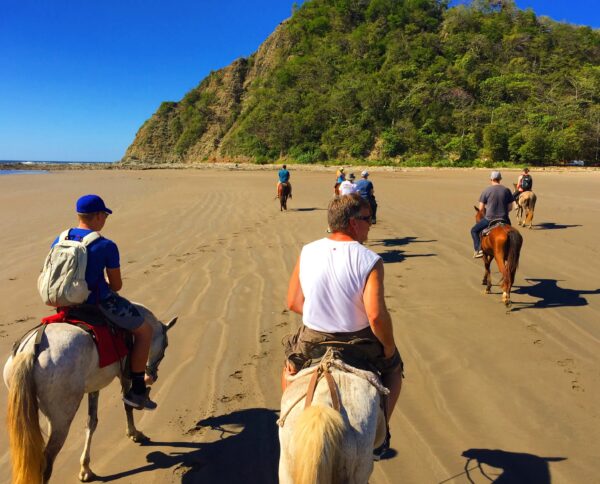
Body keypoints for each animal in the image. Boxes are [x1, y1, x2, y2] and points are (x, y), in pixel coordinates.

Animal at [2, 306, 176, 484]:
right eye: (166, 345)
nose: (152, 377)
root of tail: (31, 350)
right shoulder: (126, 375)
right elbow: (127, 405)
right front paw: (134, 433)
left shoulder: (95, 386)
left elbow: (91, 422)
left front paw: (85, 468)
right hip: (63, 416)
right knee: (46, 462)